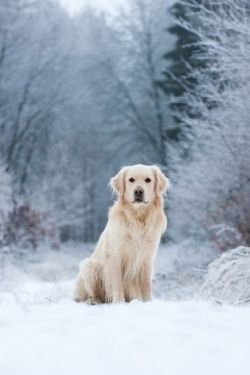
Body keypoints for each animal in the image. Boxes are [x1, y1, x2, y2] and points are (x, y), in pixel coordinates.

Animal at [73, 163, 169, 304]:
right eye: (131, 180)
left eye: (148, 180)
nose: (138, 191)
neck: (137, 218)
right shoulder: (116, 255)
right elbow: (117, 282)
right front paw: (119, 302)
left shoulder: (147, 256)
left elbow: (146, 283)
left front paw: (147, 302)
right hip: (88, 266)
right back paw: (93, 301)